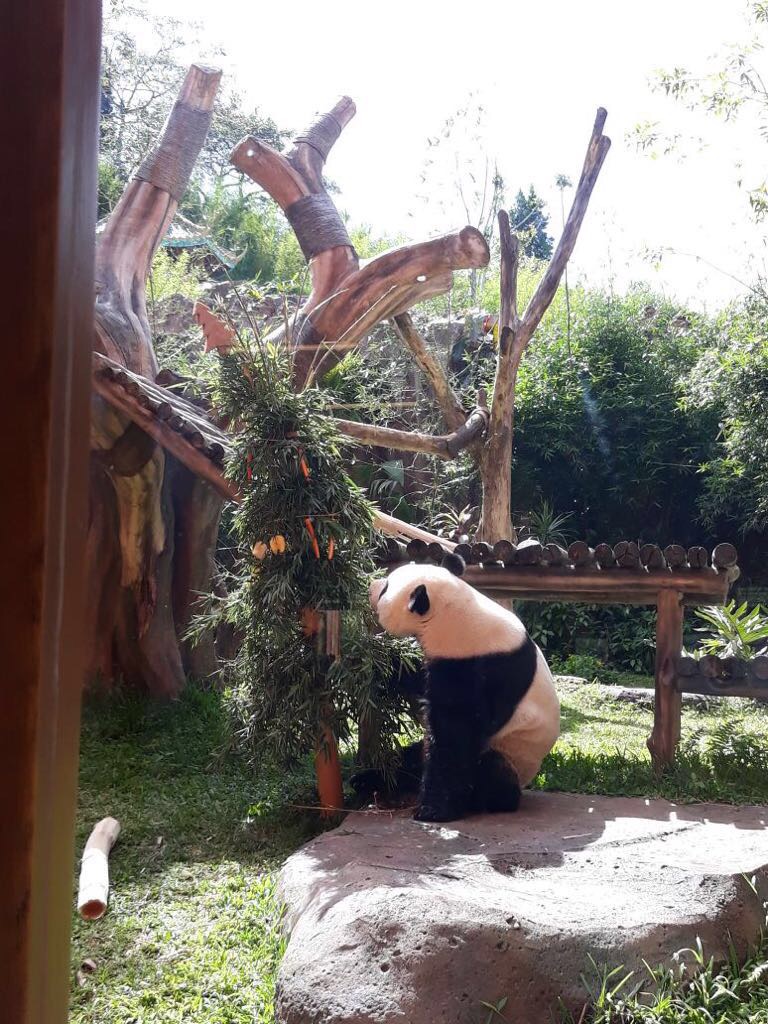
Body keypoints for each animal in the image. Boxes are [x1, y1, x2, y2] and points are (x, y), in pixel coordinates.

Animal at [357, 552, 560, 823]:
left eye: (385, 589)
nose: (370, 585)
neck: (458, 614)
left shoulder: (476, 668)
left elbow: (456, 734)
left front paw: (433, 811)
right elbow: (415, 674)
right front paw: (373, 656)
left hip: (513, 753)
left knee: (490, 767)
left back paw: (491, 800)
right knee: (409, 759)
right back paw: (366, 780)